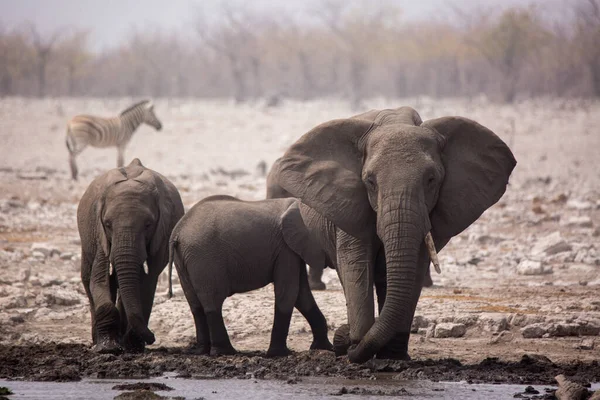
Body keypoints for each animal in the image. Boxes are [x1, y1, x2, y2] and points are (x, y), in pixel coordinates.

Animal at [78, 159, 184, 354]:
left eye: (148, 224)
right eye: (107, 224)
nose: (153, 338)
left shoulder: (161, 234)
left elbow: (146, 282)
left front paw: (132, 347)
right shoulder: (100, 234)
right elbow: (99, 278)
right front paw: (107, 349)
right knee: (89, 279)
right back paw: (99, 342)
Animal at [169, 195, 336, 354]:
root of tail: (177, 233)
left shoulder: (291, 249)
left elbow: (301, 294)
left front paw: (325, 348)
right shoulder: (285, 248)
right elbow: (289, 292)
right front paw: (280, 354)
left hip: (185, 261)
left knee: (195, 304)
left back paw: (202, 351)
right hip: (205, 258)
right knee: (213, 301)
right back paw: (226, 352)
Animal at [272, 106, 516, 362]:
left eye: (431, 180)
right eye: (370, 181)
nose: (344, 340)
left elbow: (415, 267)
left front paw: (393, 356)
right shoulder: (349, 204)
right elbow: (356, 263)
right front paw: (357, 346)